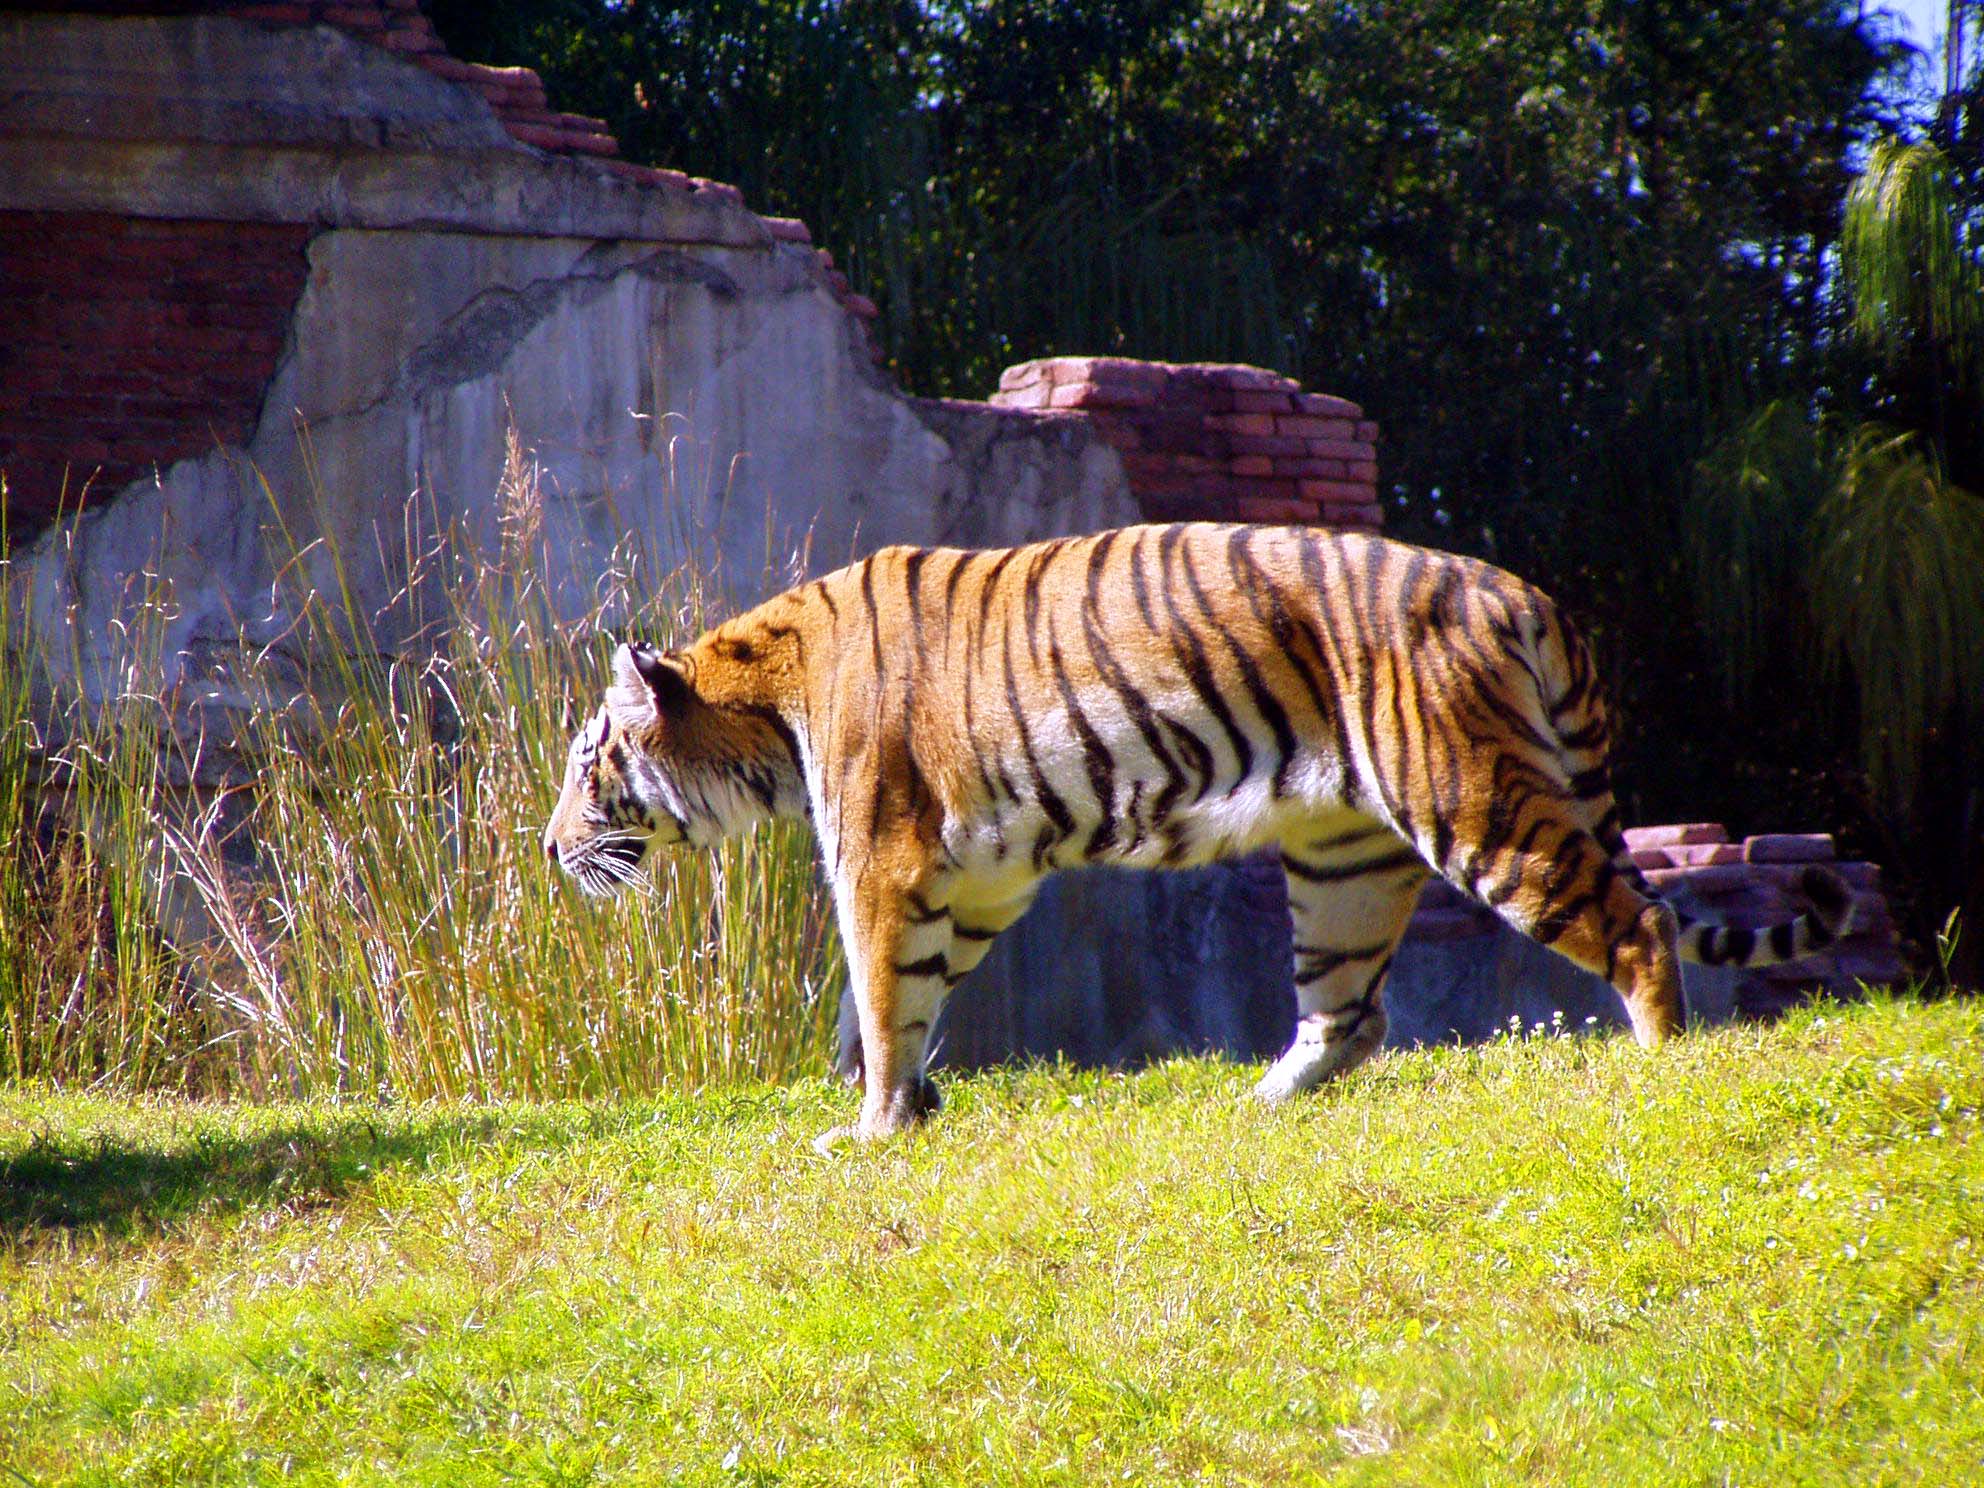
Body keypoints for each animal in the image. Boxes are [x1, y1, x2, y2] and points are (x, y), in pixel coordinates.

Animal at [539, 527, 1841, 1150]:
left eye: (587, 762)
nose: (550, 850)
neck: (763, 712)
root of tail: (1523, 593)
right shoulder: (976, 876)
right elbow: (913, 995)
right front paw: (907, 1109)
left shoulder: (880, 859)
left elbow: (878, 992)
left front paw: (866, 1130)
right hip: (1343, 858)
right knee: (1349, 1014)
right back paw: (1256, 1104)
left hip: (1472, 805)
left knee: (1636, 922)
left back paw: (1658, 1062)